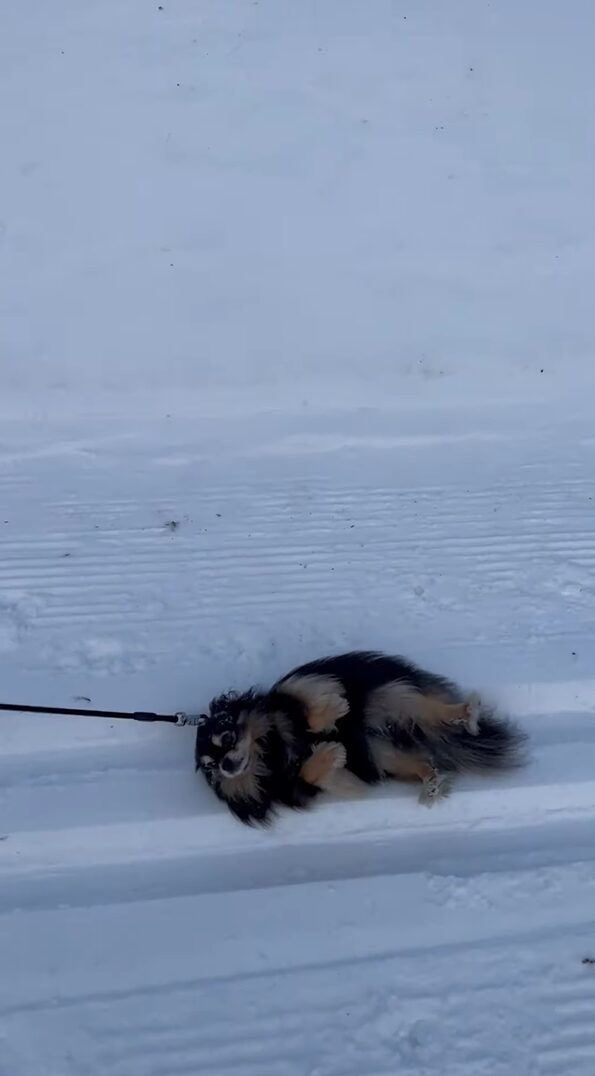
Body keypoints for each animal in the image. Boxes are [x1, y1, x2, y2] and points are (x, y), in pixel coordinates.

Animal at [194, 645, 525, 822]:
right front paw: (331, 751)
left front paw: (335, 711)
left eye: (226, 738)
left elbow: (308, 706)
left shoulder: (296, 690)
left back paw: (467, 714)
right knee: (423, 764)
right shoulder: (303, 789)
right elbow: (311, 773)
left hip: (391, 697)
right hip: (384, 755)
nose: (226, 766)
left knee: (432, 710)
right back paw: (430, 785)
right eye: (210, 770)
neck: (268, 749)